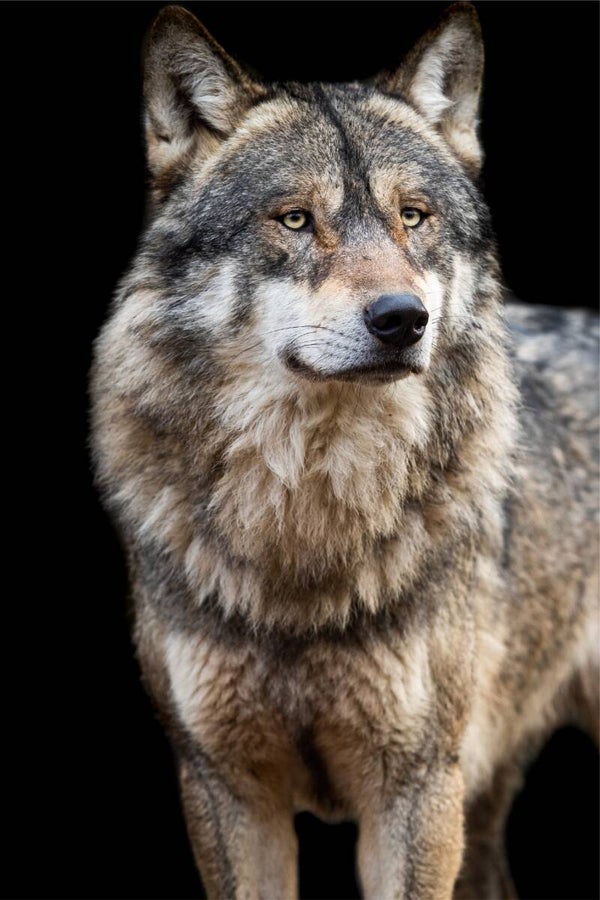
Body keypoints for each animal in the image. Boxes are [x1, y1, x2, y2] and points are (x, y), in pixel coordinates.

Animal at [91, 3, 599, 898]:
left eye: (413, 217)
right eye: (296, 218)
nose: (402, 319)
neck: (309, 521)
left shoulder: (416, 791)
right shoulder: (223, 789)